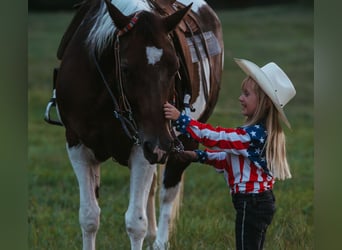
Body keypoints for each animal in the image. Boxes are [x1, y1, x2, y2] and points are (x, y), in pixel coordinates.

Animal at [46, 0, 224, 249]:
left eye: (175, 67)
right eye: (126, 69)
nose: (159, 142)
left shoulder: (145, 148)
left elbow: (135, 222)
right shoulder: (77, 145)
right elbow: (89, 217)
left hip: (182, 143)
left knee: (168, 192)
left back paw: (159, 241)